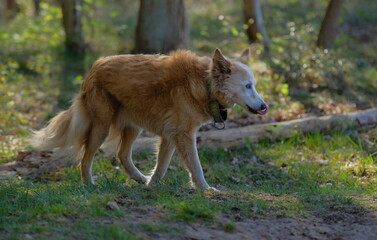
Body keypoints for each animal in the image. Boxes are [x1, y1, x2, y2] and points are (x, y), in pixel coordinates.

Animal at [32, 48, 268, 191]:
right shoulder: (183, 135)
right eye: (248, 86)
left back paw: (139, 179)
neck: (205, 84)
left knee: (122, 155)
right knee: (85, 159)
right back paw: (89, 184)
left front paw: (152, 186)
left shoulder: (170, 136)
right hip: (101, 127)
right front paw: (206, 190)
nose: (264, 107)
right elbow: (196, 166)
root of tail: (95, 66)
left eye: (254, 85)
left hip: (132, 127)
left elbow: (161, 166)